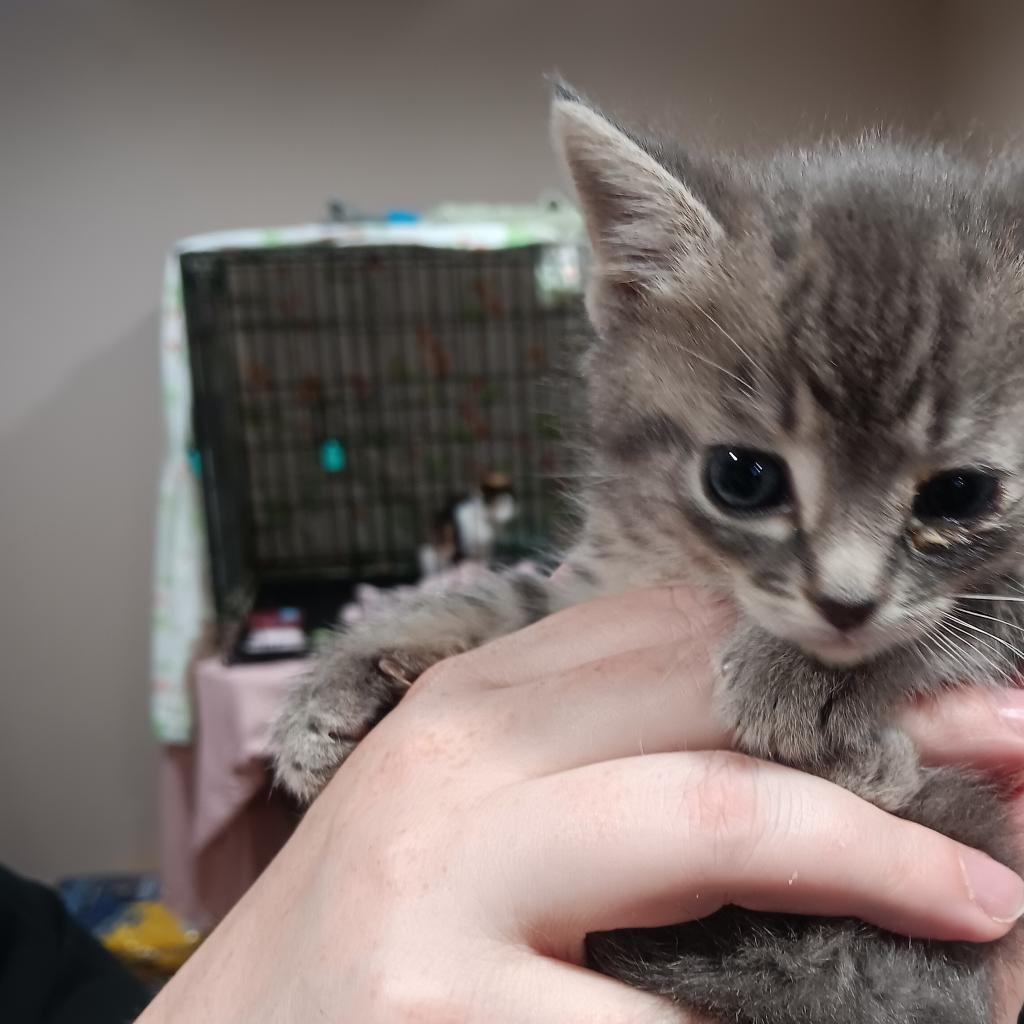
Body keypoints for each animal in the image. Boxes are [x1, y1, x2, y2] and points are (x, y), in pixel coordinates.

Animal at [272, 86, 1024, 1024]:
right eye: (741, 477)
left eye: (960, 494)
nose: (844, 605)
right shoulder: (589, 583)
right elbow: (497, 601)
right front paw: (343, 676)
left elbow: (985, 607)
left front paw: (806, 675)